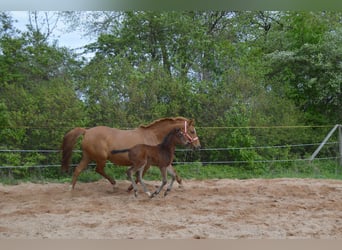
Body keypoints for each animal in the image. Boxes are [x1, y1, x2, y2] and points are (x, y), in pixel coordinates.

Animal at [61, 116, 200, 189]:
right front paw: (130, 188)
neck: (154, 136)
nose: (198, 146)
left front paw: (181, 184)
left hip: (88, 156)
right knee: (98, 169)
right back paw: (114, 184)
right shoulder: (147, 163)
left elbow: (174, 171)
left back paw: (71, 188)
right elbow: (140, 176)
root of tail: (87, 131)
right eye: (192, 131)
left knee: (78, 169)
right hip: (101, 158)